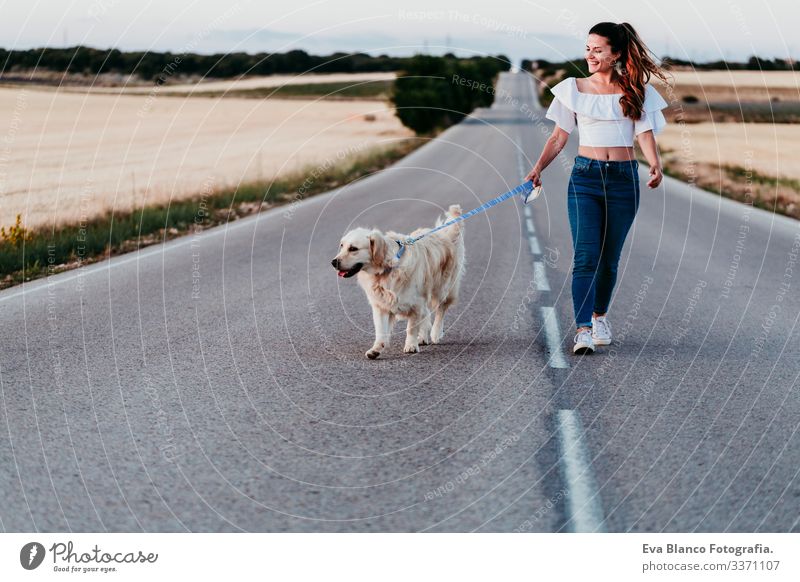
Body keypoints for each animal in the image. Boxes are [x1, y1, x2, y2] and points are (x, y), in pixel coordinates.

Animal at [332, 205, 466, 360]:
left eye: (353, 248)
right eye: (342, 246)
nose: (333, 262)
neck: (386, 269)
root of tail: (444, 233)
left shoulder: (416, 303)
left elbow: (411, 328)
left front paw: (411, 345)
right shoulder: (381, 304)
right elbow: (381, 330)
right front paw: (376, 349)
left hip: (443, 287)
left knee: (441, 309)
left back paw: (435, 333)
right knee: (427, 313)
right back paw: (423, 337)